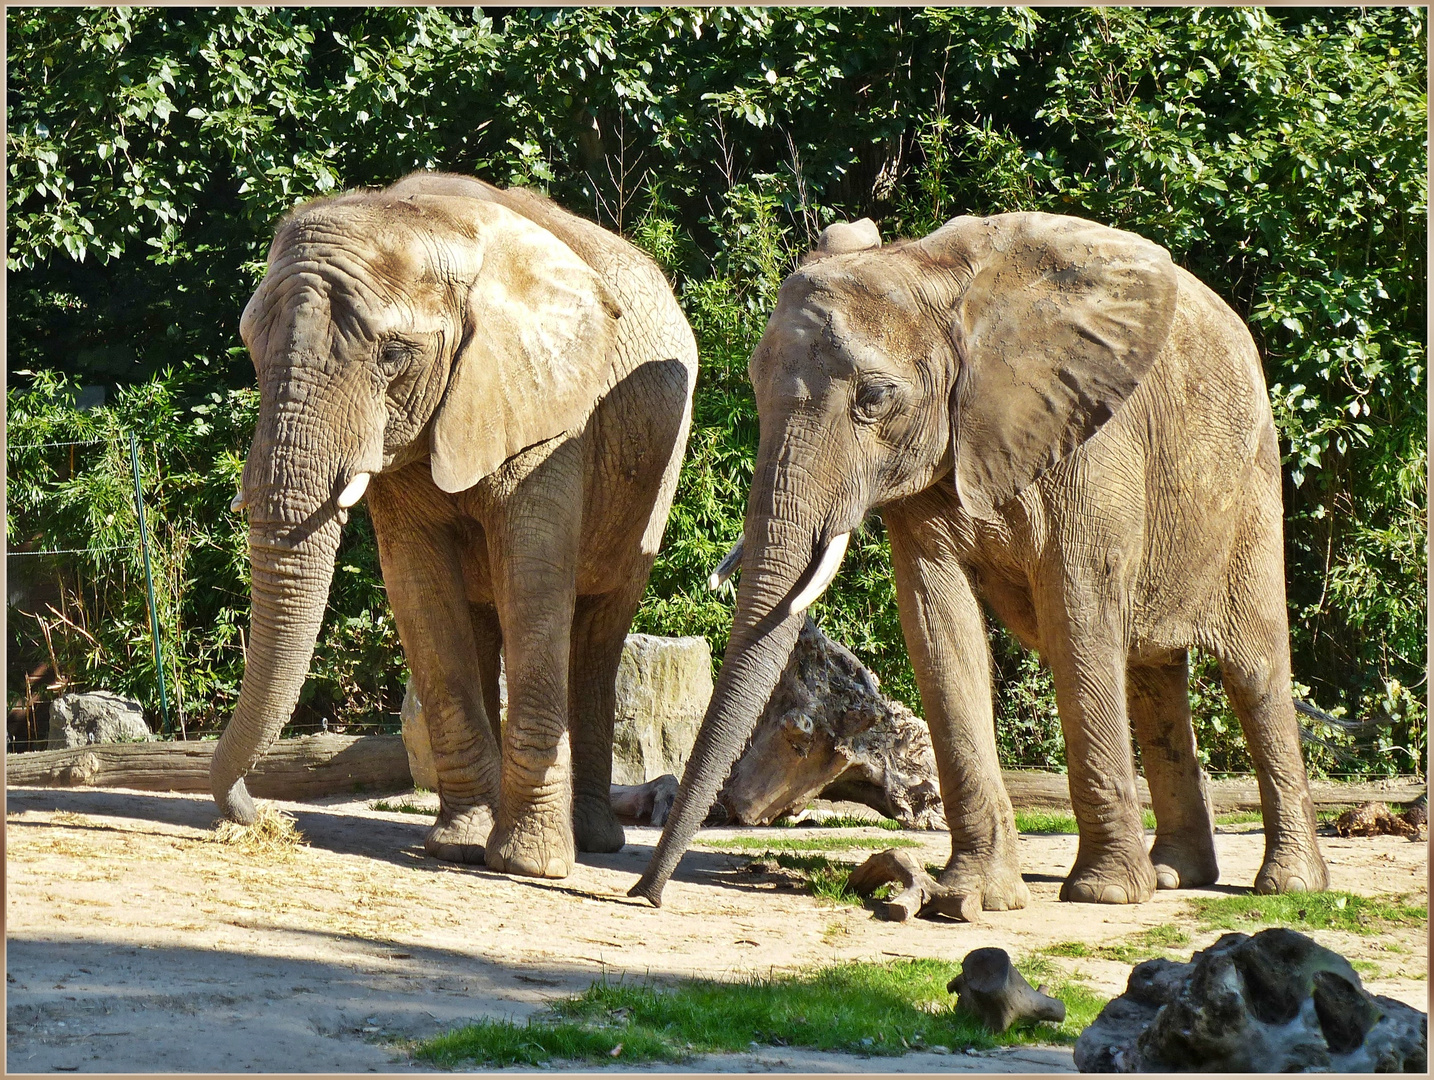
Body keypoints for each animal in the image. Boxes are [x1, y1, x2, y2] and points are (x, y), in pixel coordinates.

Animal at [213, 170, 699, 877]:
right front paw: (460, 848)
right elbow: (420, 589)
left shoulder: (548, 409)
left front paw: (530, 866)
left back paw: (590, 840)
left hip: (658, 470)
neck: (429, 220)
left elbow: (532, 578)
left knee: (598, 633)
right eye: (251, 348)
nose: (260, 817)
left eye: (393, 355)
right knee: (482, 620)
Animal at [633, 207, 1325, 900]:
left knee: (1254, 670)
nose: (646, 893)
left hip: (1252, 485)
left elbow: (1077, 618)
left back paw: (1286, 885)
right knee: (1153, 678)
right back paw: (1174, 875)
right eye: (754, 381)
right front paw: (974, 898)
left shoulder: (1093, 441)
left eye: (874, 399)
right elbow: (940, 625)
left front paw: (1100, 893)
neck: (931, 273)